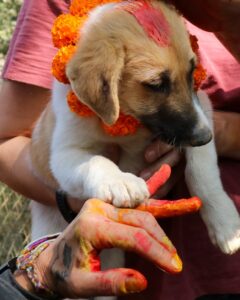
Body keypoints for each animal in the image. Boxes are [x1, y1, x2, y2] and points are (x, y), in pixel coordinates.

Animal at [31, 0, 239, 262]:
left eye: (192, 72)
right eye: (156, 84)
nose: (205, 137)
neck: (131, 123)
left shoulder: (203, 106)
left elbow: (201, 171)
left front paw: (226, 224)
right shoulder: (64, 153)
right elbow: (96, 161)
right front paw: (120, 181)